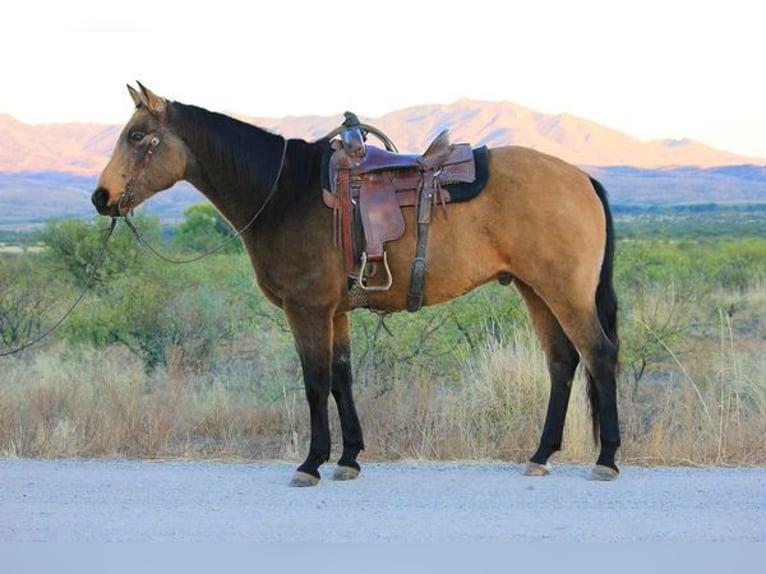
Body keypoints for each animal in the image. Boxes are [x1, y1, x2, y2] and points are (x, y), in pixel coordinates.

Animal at [93, 83, 620, 488]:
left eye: (137, 136)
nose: (101, 197)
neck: (283, 193)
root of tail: (582, 178)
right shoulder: (337, 311)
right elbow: (342, 379)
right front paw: (348, 459)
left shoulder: (307, 310)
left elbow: (315, 382)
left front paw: (311, 463)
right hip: (536, 290)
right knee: (562, 362)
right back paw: (541, 454)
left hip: (564, 292)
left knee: (599, 355)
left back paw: (607, 459)